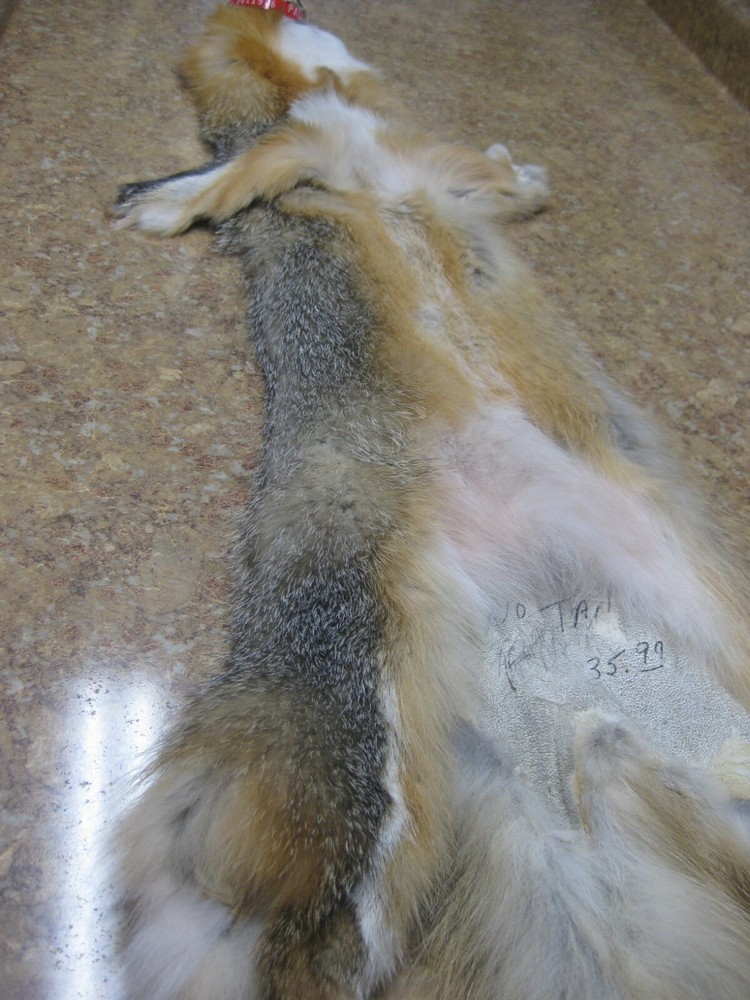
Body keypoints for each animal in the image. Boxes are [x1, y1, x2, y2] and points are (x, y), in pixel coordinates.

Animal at [112, 3, 750, 998]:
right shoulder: (332, 154)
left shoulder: (406, 162)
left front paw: (525, 173)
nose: (300, 10)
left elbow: (485, 177)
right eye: (271, 10)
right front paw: (170, 200)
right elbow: (249, 168)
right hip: (371, 793)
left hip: (691, 609)